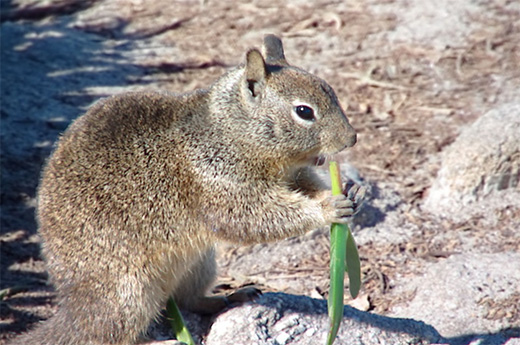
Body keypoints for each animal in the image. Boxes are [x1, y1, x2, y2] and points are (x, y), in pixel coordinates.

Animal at [11, 35, 362, 344]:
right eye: (304, 111)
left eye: (330, 91)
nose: (352, 138)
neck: (230, 131)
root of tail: (73, 305)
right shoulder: (221, 186)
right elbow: (257, 217)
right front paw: (327, 208)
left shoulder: (292, 174)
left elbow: (306, 184)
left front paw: (350, 194)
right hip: (130, 292)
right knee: (109, 333)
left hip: (198, 263)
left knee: (186, 300)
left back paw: (228, 298)